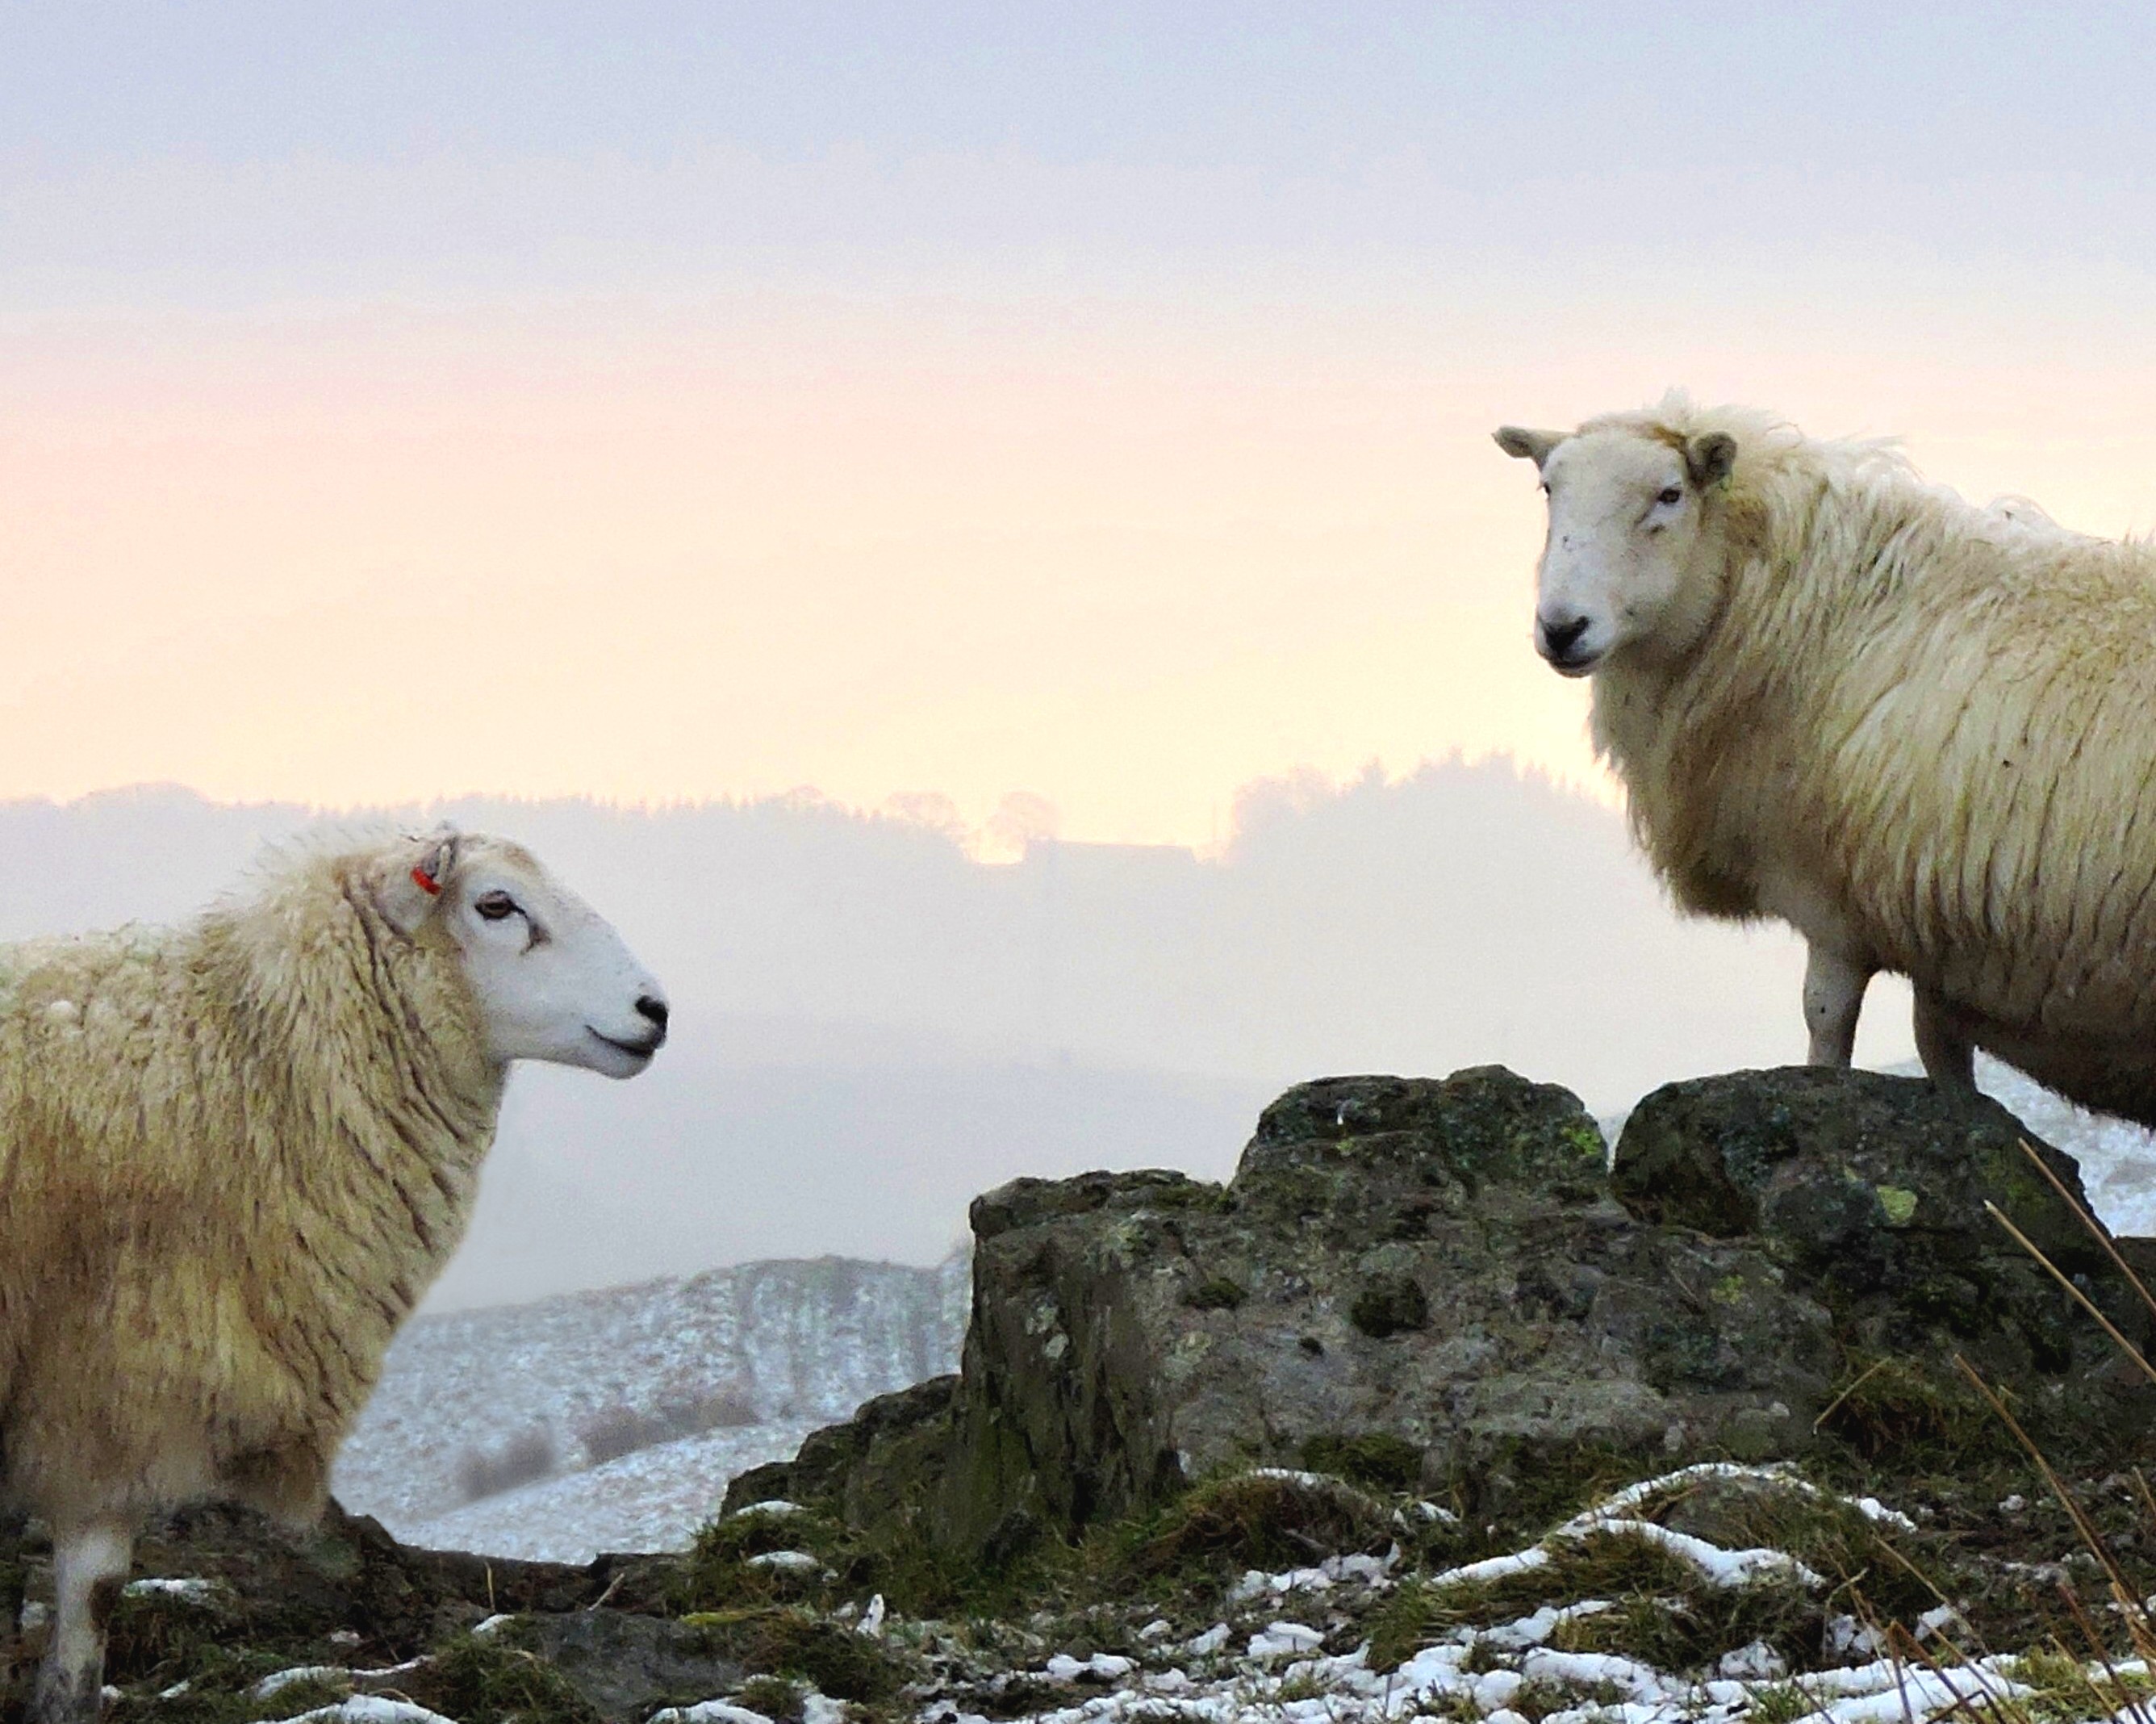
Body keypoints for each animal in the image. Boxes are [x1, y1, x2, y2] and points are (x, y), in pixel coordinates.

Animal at [1500, 399, 2156, 1130]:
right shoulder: (1938, 932)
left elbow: (1826, 1021)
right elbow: (1942, 1056)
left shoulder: (1833, 902)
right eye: (1549, 489)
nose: (1562, 628)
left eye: (1670, 494)